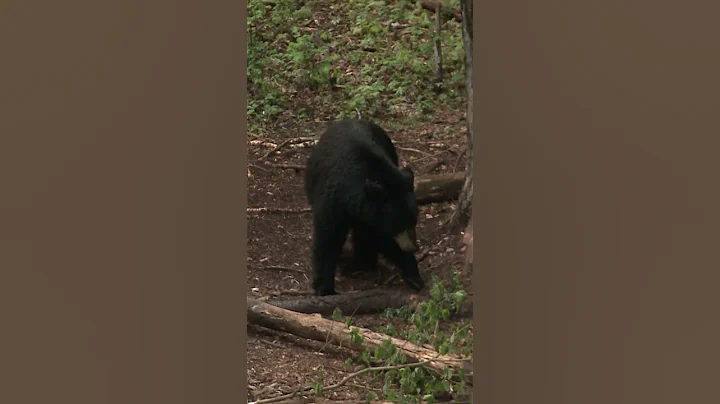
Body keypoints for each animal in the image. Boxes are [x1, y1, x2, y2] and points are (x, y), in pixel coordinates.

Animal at [304, 118, 425, 296]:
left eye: (414, 221)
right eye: (400, 224)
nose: (413, 248)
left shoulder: (372, 214)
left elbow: (377, 236)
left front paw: (413, 274)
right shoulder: (334, 200)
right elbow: (328, 237)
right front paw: (325, 288)